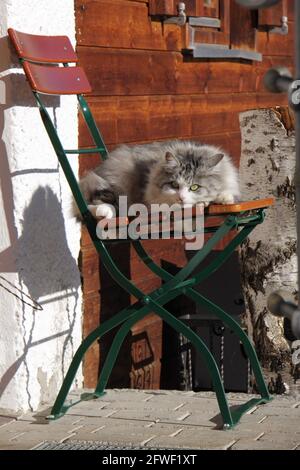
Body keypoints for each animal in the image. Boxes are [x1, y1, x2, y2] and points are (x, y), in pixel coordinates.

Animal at [78, 140, 240, 219]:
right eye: (174, 185)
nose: (181, 198)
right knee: (90, 204)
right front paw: (204, 202)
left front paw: (224, 198)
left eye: (194, 187)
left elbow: (225, 193)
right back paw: (104, 211)